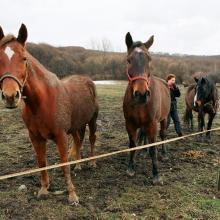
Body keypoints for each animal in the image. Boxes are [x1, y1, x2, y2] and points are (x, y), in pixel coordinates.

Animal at [0, 24, 98, 205]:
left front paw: (72, 195)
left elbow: (64, 163)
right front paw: (44, 189)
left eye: (24, 58)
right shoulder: (35, 137)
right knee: (78, 141)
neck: (42, 102)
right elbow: (42, 162)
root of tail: (87, 80)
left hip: (92, 121)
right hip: (76, 126)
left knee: (92, 139)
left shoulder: (60, 135)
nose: (10, 96)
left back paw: (92, 163)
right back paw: (79, 165)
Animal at [123, 32, 171, 184]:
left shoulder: (152, 124)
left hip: (163, 119)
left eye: (149, 59)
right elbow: (133, 145)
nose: (142, 94)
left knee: (163, 135)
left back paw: (164, 153)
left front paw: (156, 174)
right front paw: (130, 167)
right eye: (129, 60)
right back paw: (143, 152)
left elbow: (153, 148)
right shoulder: (130, 124)